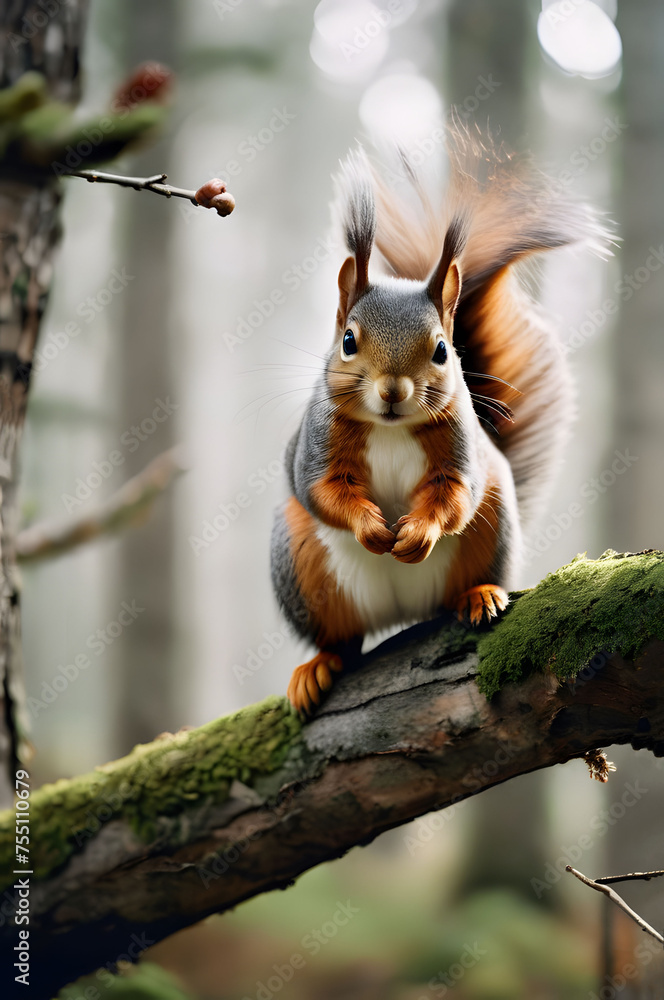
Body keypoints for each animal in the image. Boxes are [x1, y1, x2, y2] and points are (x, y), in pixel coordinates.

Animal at [271, 123, 610, 715]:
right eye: (348, 341)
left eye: (442, 351)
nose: (392, 391)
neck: (389, 428)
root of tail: (401, 613)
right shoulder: (317, 447)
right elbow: (324, 490)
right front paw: (372, 526)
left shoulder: (460, 450)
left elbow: (452, 494)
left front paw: (417, 532)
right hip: (298, 564)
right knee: (341, 642)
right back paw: (317, 666)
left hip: (494, 524)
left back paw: (478, 595)